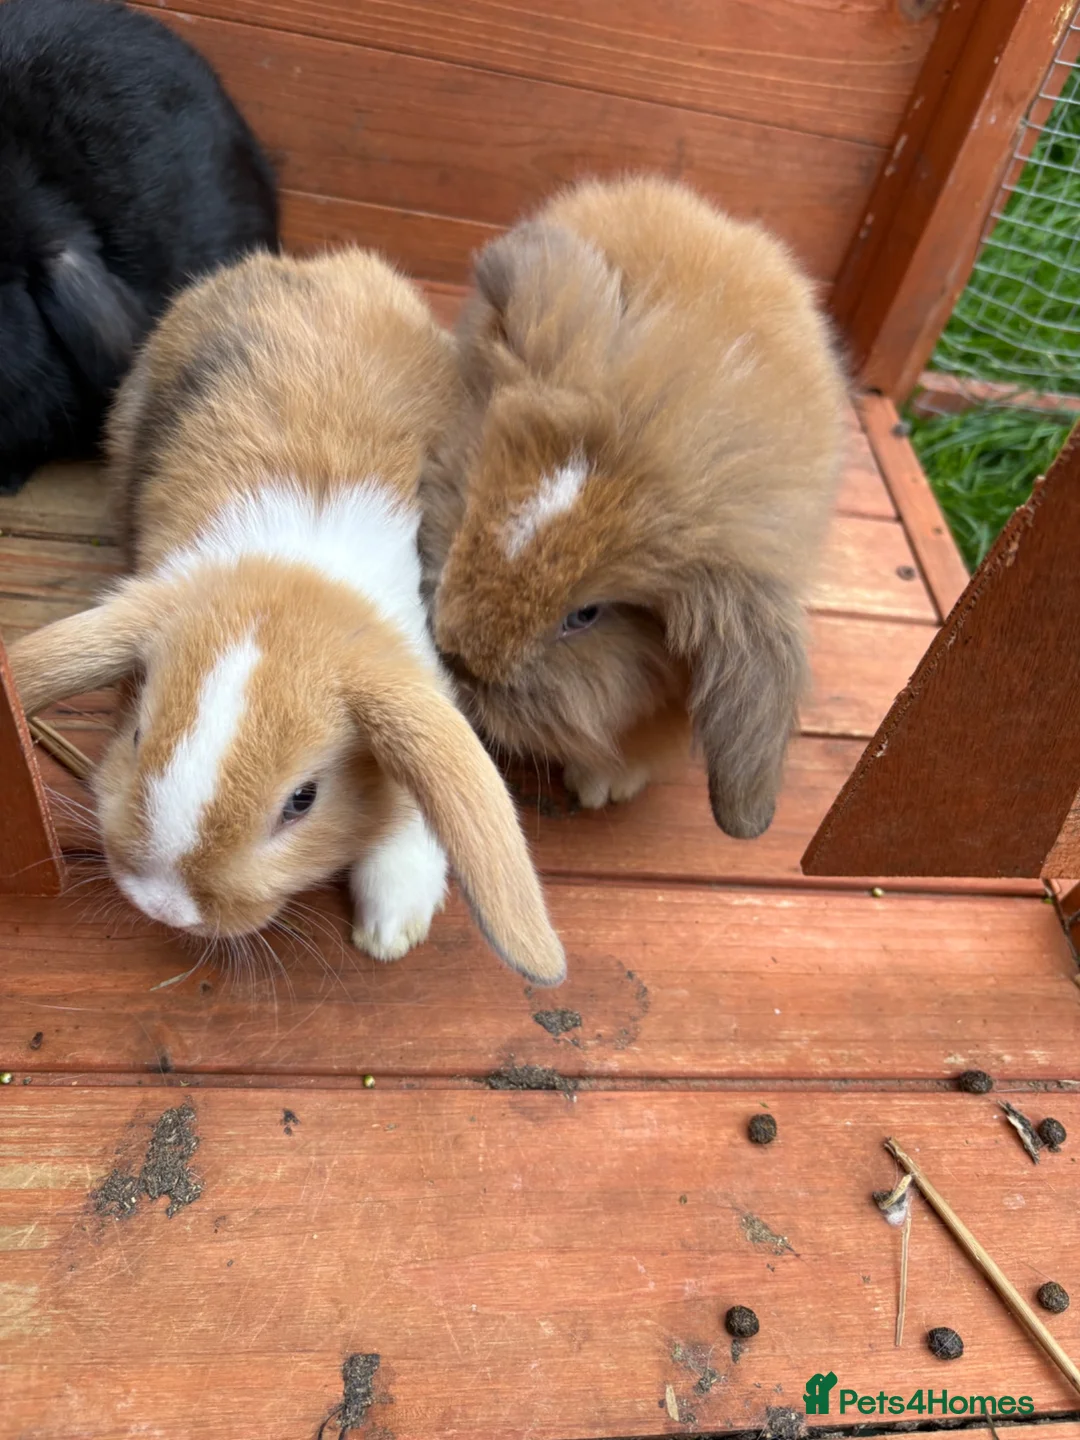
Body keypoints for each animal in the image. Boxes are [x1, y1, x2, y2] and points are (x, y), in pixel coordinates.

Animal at [7, 247, 566, 987]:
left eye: (303, 800)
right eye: (135, 736)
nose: (163, 905)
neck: (294, 578)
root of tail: (306, 263)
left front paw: (390, 930)